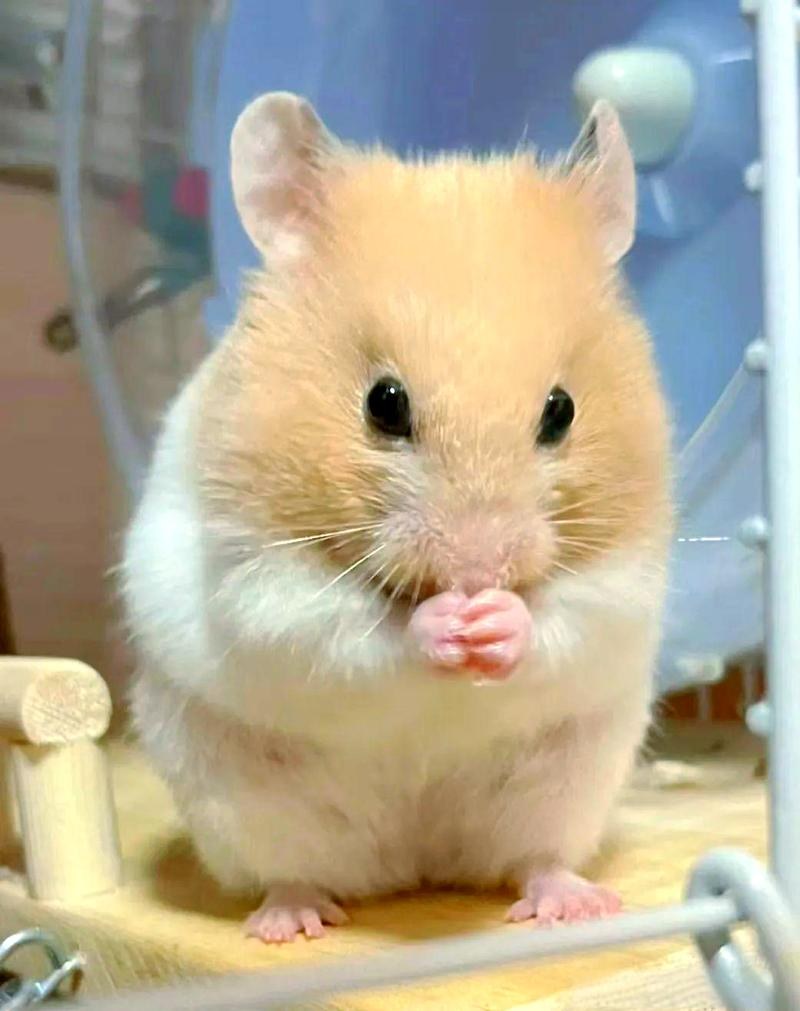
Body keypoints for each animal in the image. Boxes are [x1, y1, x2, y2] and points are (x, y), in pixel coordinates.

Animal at [122, 92, 672, 943]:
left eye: (562, 410)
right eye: (384, 403)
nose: (478, 570)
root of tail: (416, 864)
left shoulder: (625, 576)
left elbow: (567, 616)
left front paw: (494, 623)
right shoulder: (261, 577)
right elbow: (349, 631)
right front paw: (449, 624)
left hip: (566, 788)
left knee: (533, 856)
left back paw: (571, 902)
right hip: (246, 804)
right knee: (293, 871)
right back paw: (290, 921)